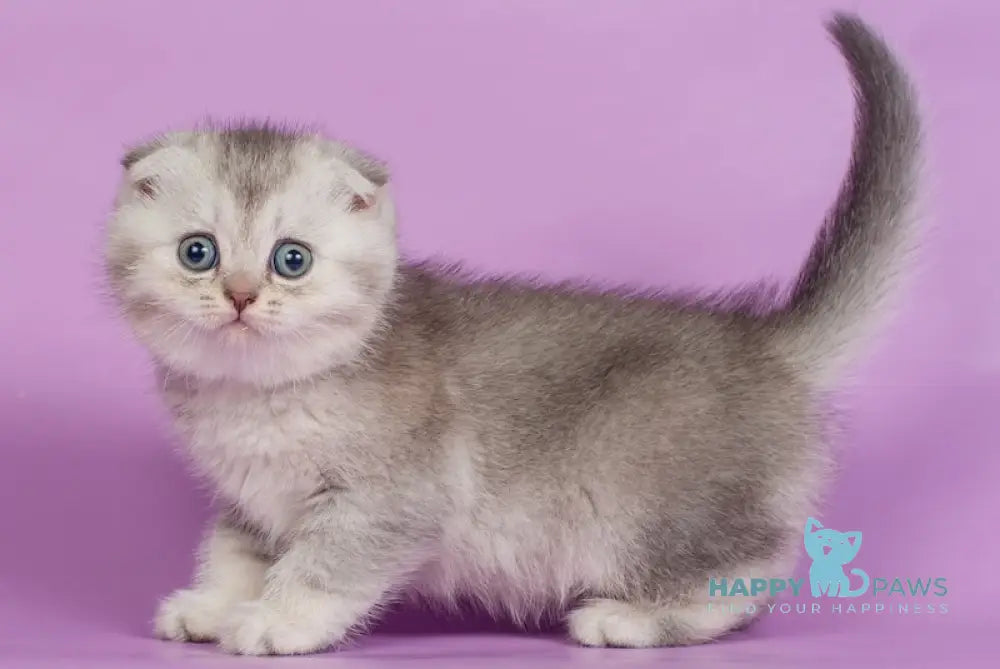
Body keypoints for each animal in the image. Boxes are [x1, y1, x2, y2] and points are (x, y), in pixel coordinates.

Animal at [103, 13, 920, 656]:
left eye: (291, 259)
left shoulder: (391, 498)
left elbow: (325, 565)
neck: (257, 395)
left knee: (748, 569)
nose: (241, 297)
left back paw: (629, 619)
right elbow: (235, 551)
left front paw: (276, 620)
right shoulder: (250, 501)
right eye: (198, 252)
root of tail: (765, 345)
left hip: (640, 494)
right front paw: (215, 605)